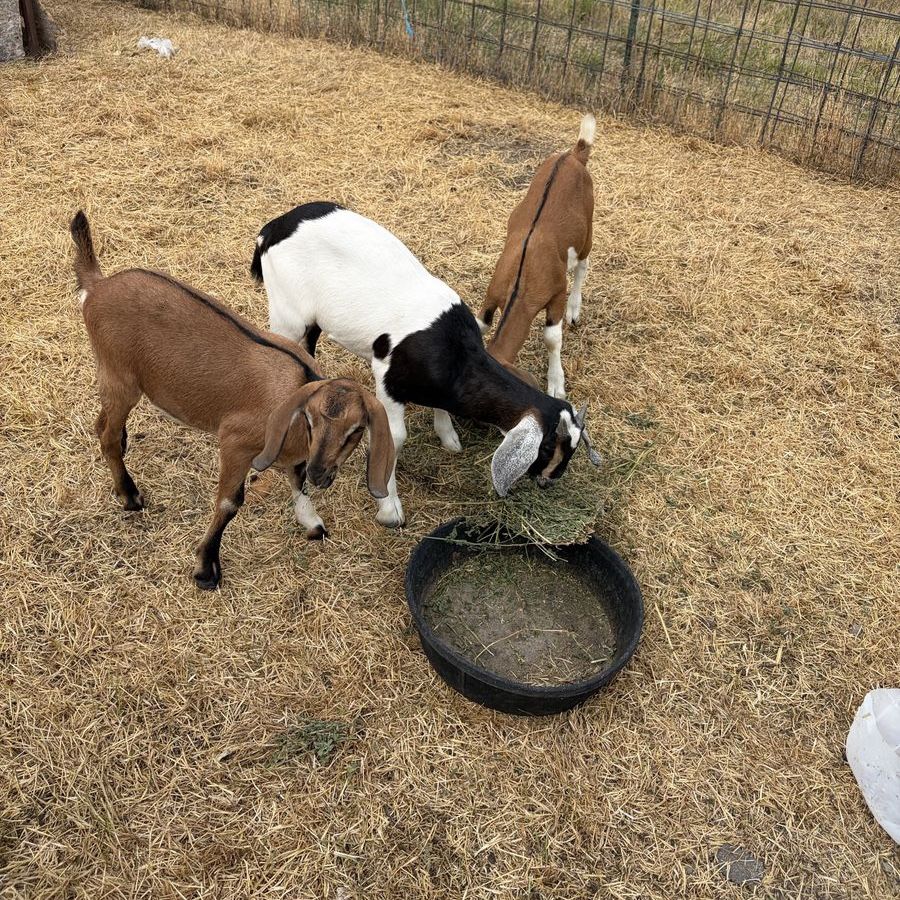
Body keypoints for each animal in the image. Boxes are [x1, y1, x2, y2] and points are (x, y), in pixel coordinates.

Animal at [71, 211, 394, 590]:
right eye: (311, 419)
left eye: (356, 430)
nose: (321, 474)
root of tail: (98, 286)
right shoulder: (236, 442)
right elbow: (229, 502)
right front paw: (206, 569)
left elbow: (295, 477)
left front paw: (311, 521)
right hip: (121, 377)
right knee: (106, 432)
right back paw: (129, 495)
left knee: (105, 424)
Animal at [251, 204, 601, 529]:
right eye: (547, 446)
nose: (551, 479)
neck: (455, 354)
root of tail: (272, 229)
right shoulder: (387, 382)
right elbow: (394, 438)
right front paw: (389, 510)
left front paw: (448, 437)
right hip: (287, 315)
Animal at [477, 114, 596, 400]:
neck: (522, 279)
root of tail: (573, 155)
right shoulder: (493, 291)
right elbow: (482, 322)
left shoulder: (556, 293)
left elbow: (552, 338)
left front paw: (556, 384)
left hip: (587, 227)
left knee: (582, 264)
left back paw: (575, 309)